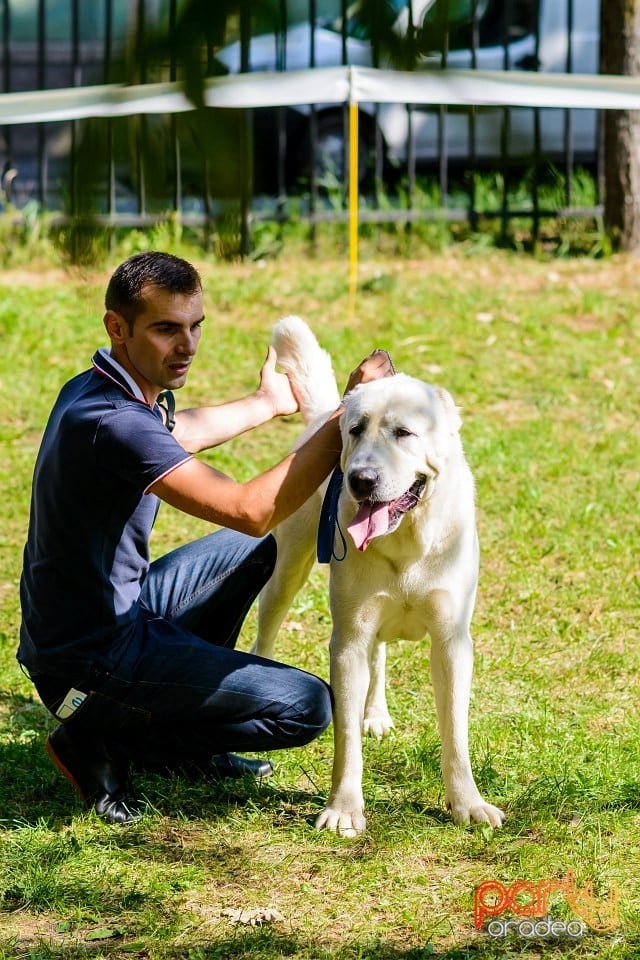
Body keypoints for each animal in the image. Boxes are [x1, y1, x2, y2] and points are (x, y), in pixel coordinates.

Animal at [255, 318, 504, 836]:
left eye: (404, 433)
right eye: (355, 431)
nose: (361, 480)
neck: (407, 540)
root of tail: (324, 413)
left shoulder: (452, 641)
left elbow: (456, 732)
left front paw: (467, 805)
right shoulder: (347, 640)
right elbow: (345, 737)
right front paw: (343, 809)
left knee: (381, 654)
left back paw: (377, 714)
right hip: (287, 570)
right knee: (268, 627)